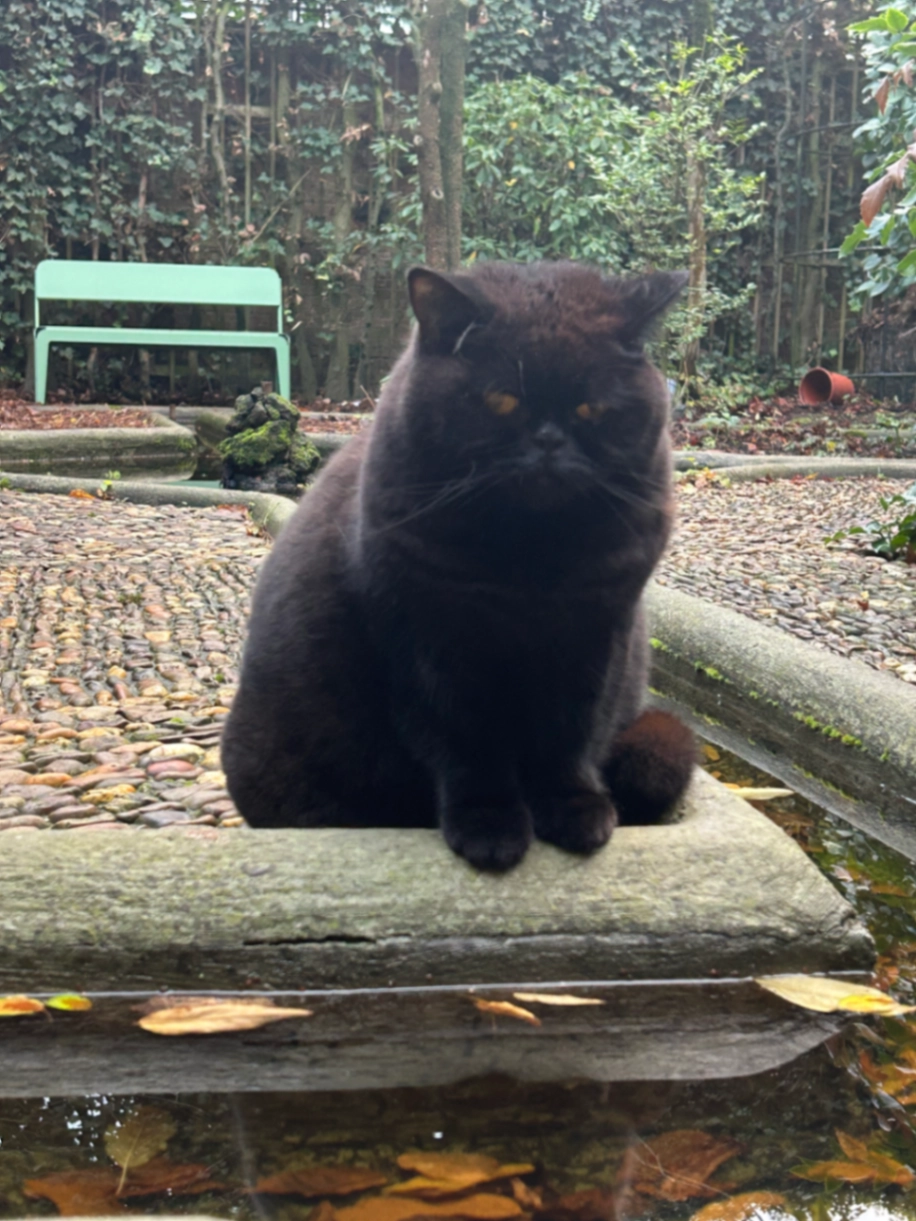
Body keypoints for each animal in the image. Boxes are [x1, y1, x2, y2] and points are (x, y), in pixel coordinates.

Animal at [222, 260, 696, 871]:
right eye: (501, 401)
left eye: (589, 408)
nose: (548, 441)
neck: (531, 560)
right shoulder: (431, 643)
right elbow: (468, 746)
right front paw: (489, 828)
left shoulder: (596, 634)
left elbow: (571, 736)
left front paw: (576, 810)